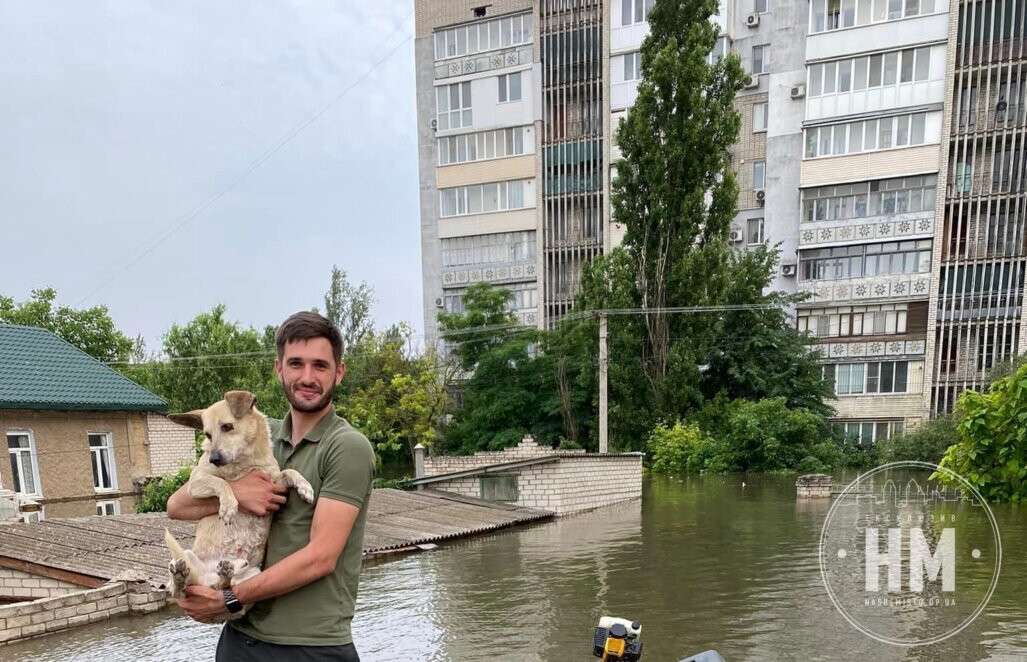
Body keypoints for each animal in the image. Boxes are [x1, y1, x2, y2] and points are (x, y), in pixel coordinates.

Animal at [160, 387, 310, 615]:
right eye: (207, 434)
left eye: (227, 426)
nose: (214, 459)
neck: (244, 463)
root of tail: (206, 581)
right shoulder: (196, 482)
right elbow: (222, 483)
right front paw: (229, 506)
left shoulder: (275, 483)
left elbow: (290, 471)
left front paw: (305, 487)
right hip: (185, 558)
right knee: (180, 590)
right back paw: (181, 577)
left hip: (254, 574)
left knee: (226, 587)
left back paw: (228, 570)